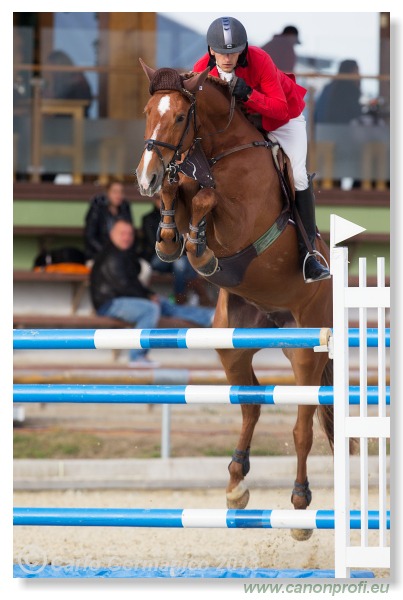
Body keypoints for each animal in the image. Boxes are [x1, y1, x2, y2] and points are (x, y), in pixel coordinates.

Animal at [136, 63, 334, 540]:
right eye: (147, 112)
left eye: (178, 117)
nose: (145, 177)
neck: (219, 150)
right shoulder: (182, 185)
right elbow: (180, 195)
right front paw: (171, 240)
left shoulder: (241, 221)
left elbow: (207, 199)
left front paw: (200, 251)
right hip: (233, 341)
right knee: (251, 401)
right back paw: (236, 485)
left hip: (308, 347)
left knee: (302, 424)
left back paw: (300, 507)